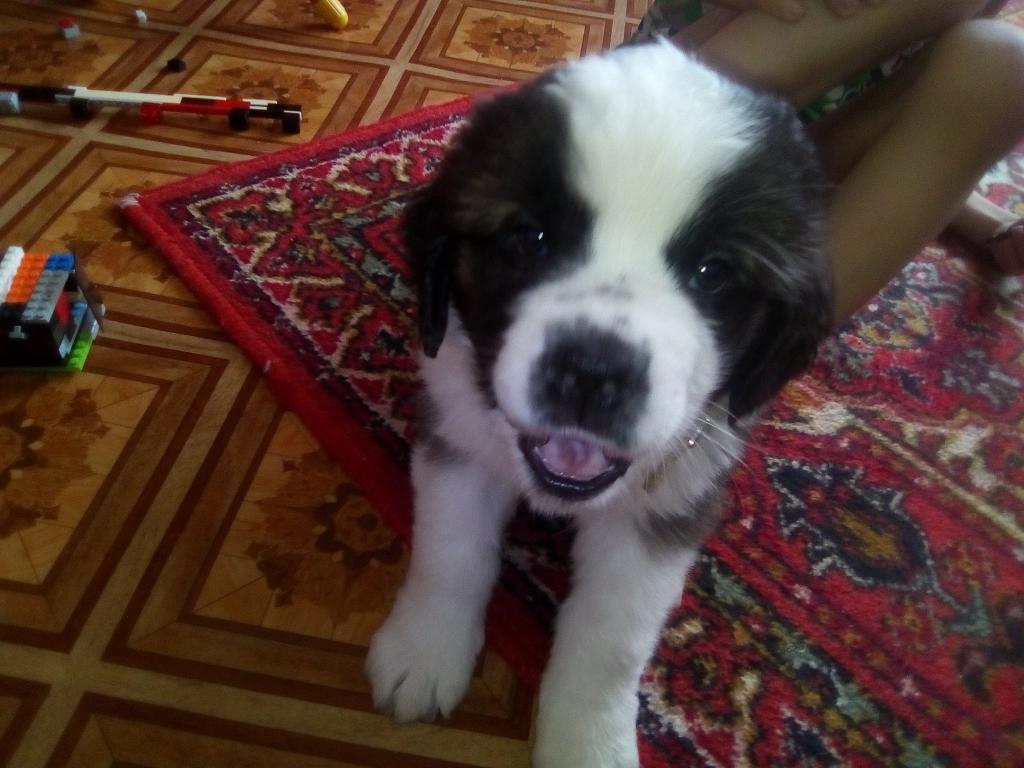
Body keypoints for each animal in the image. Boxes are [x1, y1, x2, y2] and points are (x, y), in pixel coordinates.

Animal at [366, 39, 832, 768]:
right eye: (528, 238)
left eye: (714, 273)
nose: (591, 371)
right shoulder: (458, 439)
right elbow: (450, 553)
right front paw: (426, 649)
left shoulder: (672, 501)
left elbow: (613, 639)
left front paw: (588, 741)